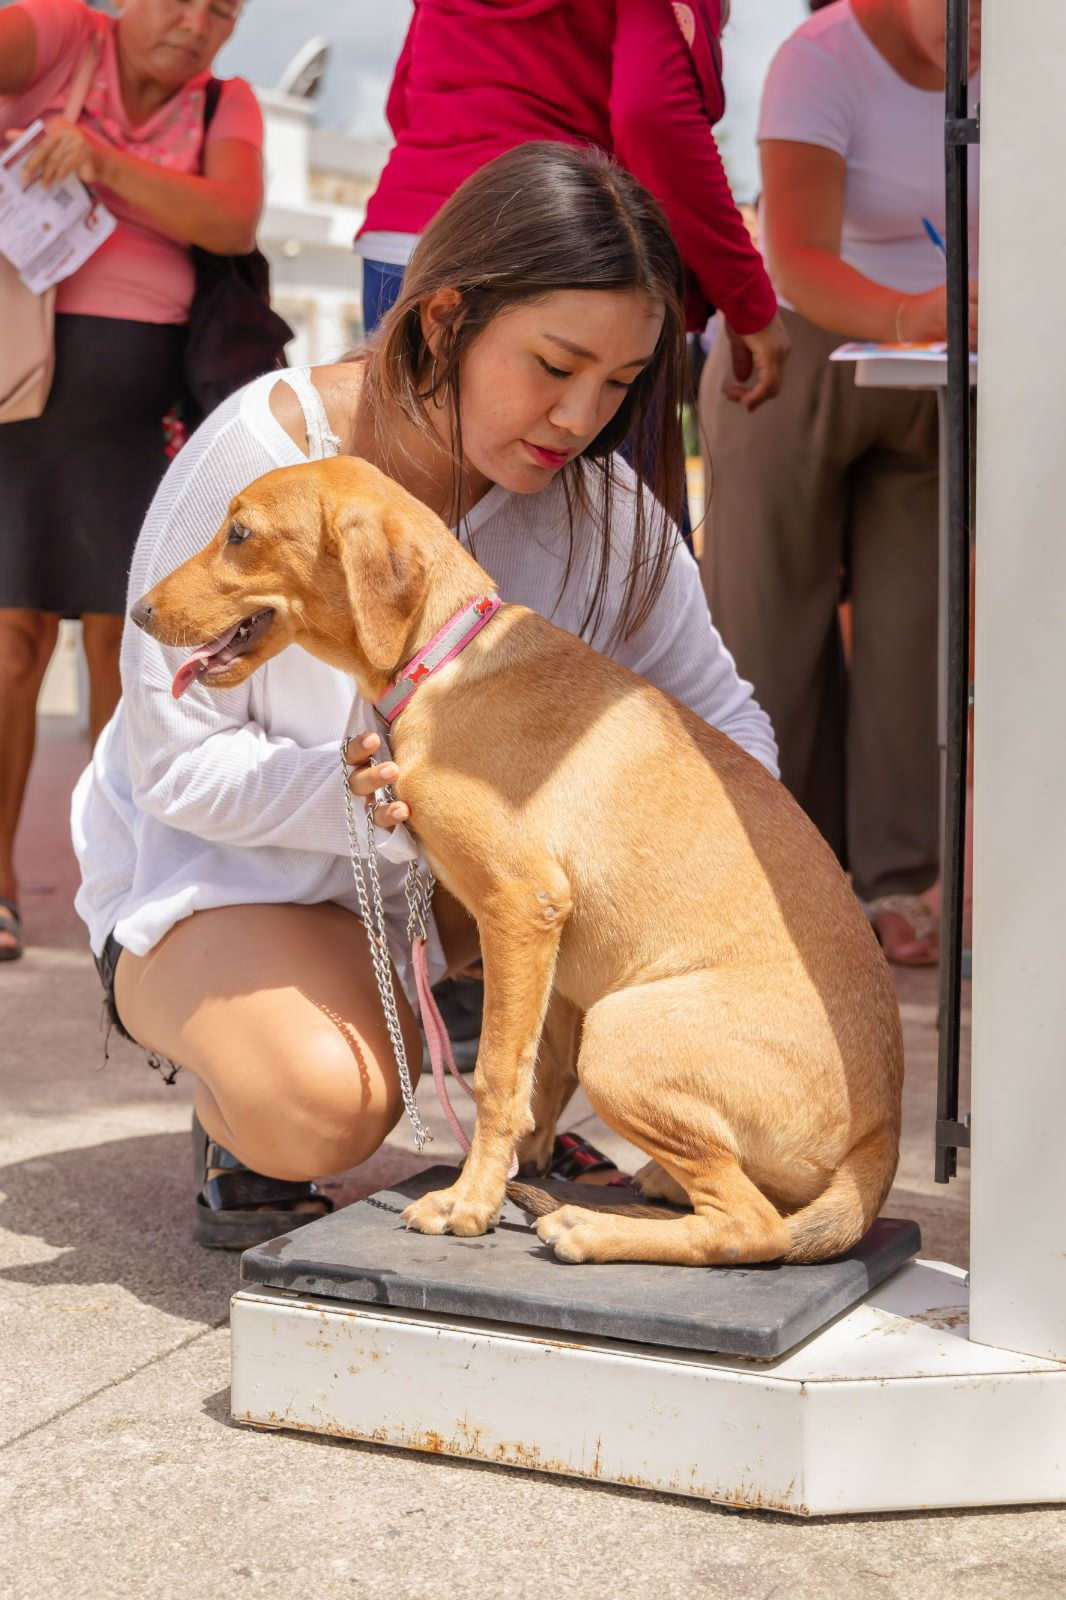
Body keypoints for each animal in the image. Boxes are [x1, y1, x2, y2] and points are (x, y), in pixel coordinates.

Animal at [130, 457, 896, 1267]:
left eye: (240, 534)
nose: (139, 613)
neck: (443, 658)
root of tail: (881, 1138)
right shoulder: (549, 956)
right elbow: (538, 1078)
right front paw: (505, 1179)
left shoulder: (521, 907)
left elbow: (499, 1075)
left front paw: (471, 1201)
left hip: (620, 1037)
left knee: (753, 1226)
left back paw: (591, 1227)